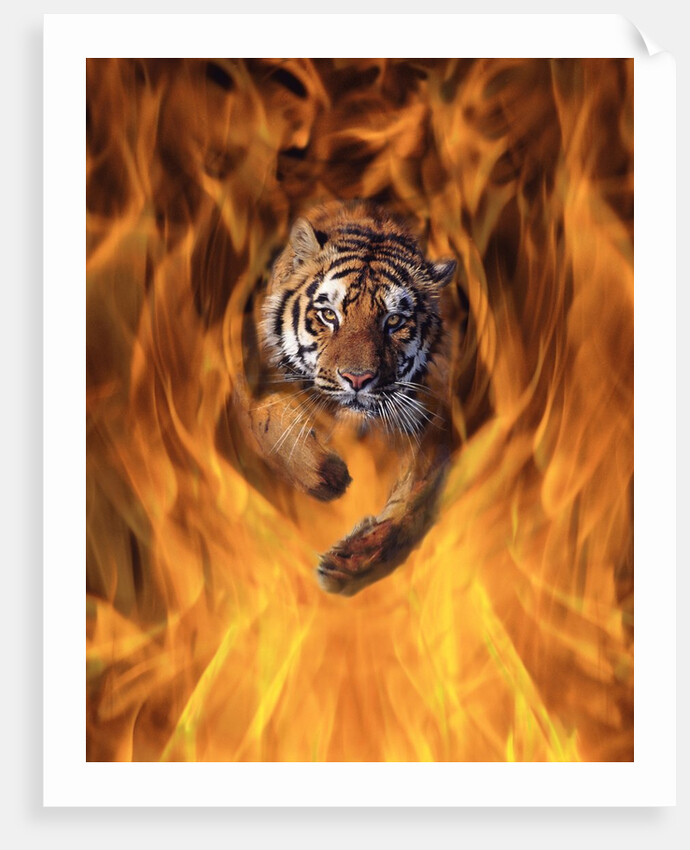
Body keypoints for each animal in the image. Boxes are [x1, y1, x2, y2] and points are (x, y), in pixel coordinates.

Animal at [233, 200, 459, 596]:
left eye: (394, 321)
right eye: (328, 315)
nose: (358, 379)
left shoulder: (430, 419)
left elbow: (415, 501)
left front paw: (353, 561)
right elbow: (268, 417)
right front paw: (327, 475)